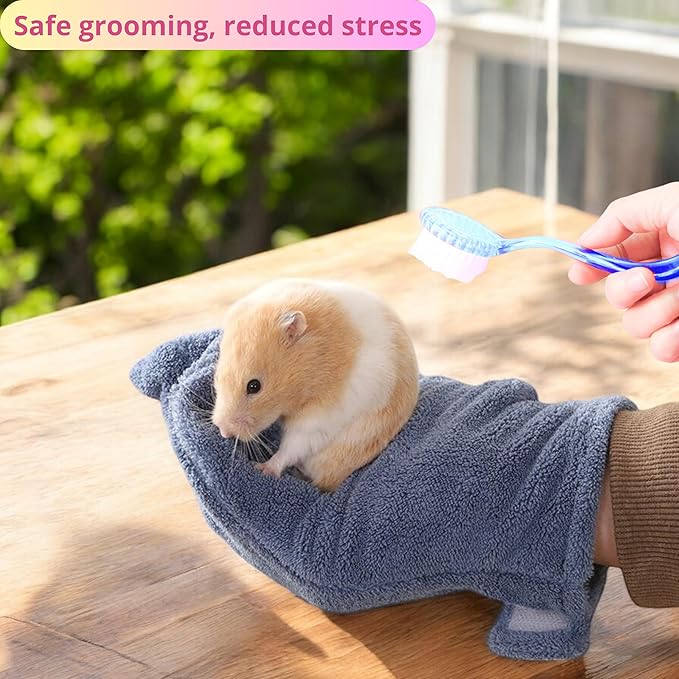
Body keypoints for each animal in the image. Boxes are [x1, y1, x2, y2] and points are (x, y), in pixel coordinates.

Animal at [212, 278, 419, 492]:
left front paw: (262, 468)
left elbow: (291, 448)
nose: (224, 432)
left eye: (254, 386)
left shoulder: (320, 421)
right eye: (217, 376)